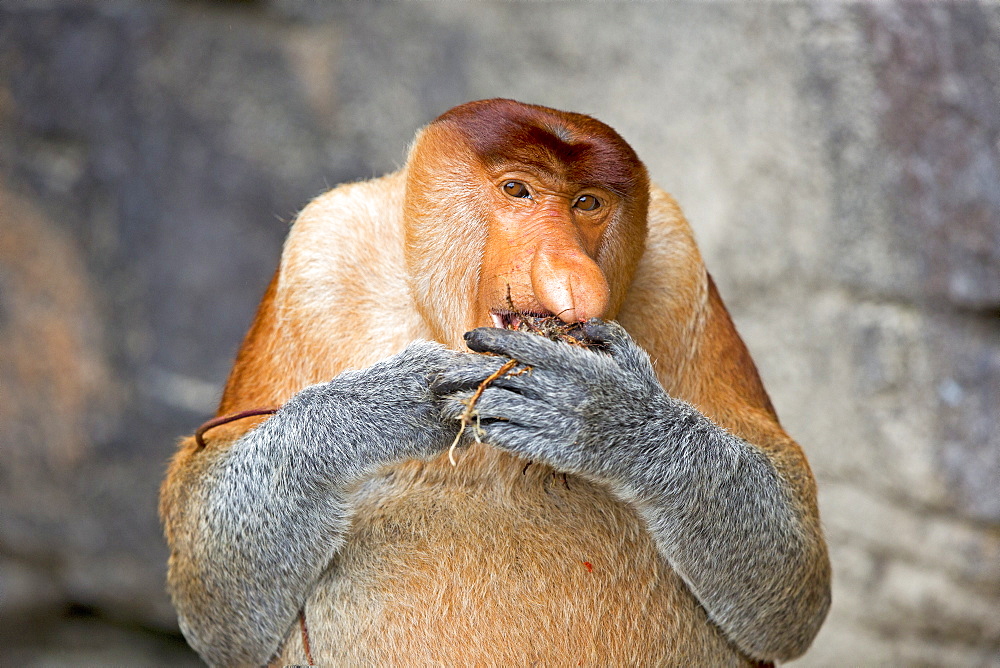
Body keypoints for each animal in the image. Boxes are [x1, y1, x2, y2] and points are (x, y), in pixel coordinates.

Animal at [160, 96, 832, 664]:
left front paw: (601, 412)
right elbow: (215, 586)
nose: (573, 276)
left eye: (587, 202)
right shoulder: (318, 252)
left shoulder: (678, 261)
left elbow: (792, 570)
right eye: (517, 190)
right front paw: (394, 403)